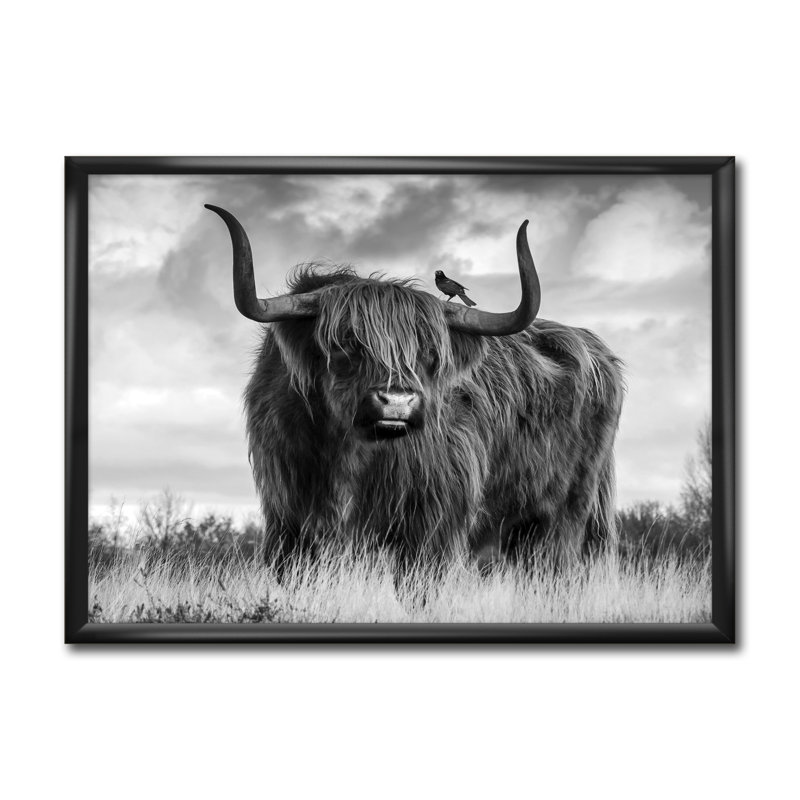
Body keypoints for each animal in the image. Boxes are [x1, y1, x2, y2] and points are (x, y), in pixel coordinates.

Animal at [206, 204, 624, 571]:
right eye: (345, 344)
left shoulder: (434, 523)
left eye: (429, 352)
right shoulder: (288, 519)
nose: (397, 402)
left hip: (564, 518)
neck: (350, 454)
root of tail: (595, 348)